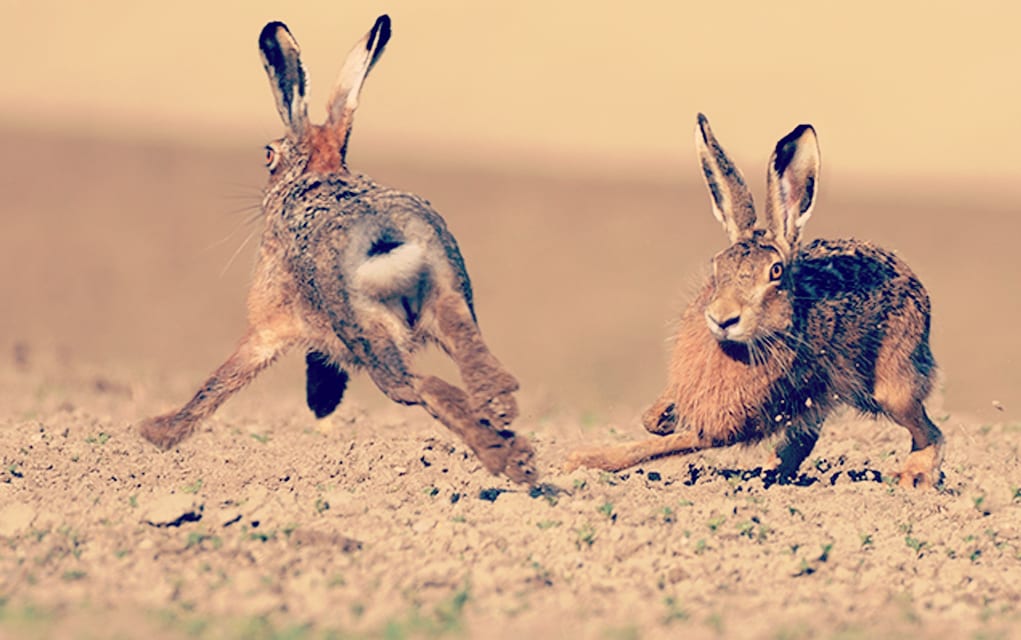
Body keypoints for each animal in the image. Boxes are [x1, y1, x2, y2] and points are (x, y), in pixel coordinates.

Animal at [138, 15, 536, 484]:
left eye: (268, 154)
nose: (262, 191)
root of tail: (382, 235)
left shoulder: (270, 323)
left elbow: (222, 379)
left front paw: (157, 432)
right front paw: (322, 403)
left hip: (367, 331)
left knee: (420, 386)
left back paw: (502, 455)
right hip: (448, 291)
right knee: (473, 355)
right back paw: (507, 427)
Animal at [566, 114, 944, 488]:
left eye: (775, 272)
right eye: (716, 265)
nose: (723, 318)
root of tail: (913, 279)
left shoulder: (735, 418)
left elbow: (662, 445)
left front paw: (582, 460)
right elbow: (656, 424)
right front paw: (659, 417)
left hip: (892, 387)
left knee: (930, 430)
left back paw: (915, 476)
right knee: (807, 434)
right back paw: (771, 471)